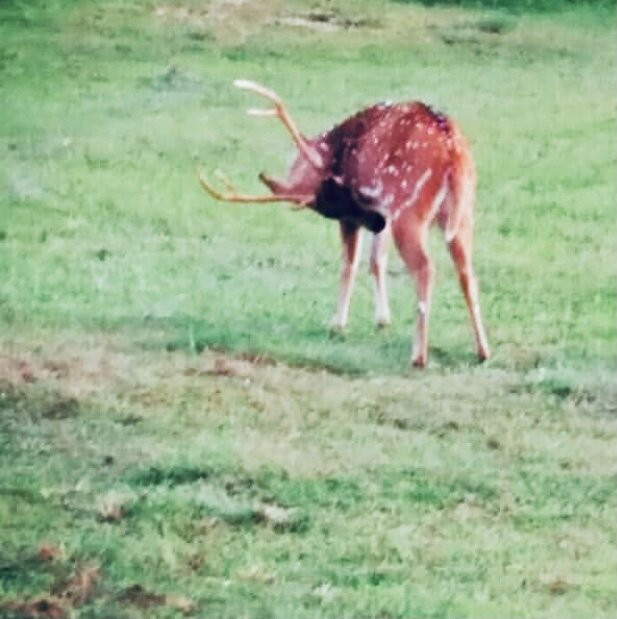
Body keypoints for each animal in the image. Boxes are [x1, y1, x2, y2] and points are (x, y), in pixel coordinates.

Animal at [199, 78, 490, 368]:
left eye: (326, 195)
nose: (374, 222)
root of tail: (453, 154)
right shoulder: (381, 212)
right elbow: (376, 260)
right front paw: (382, 320)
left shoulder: (355, 214)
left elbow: (349, 265)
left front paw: (337, 324)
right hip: (462, 212)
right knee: (467, 271)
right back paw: (482, 350)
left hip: (409, 209)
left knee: (425, 268)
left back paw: (419, 355)